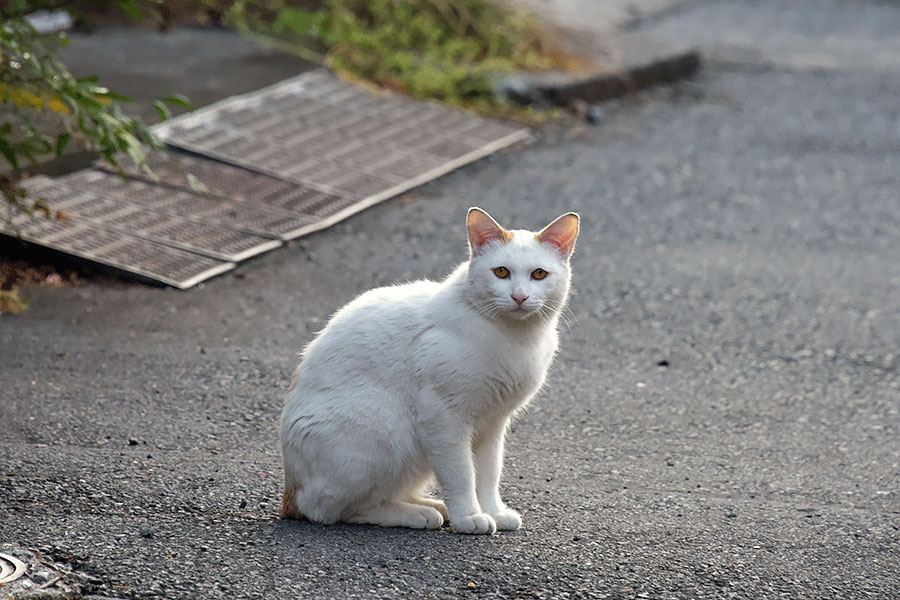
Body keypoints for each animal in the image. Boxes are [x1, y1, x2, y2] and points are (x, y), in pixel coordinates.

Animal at [278, 207, 580, 536]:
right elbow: (461, 474)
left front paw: (493, 511)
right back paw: (416, 515)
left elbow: (488, 474)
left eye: (539, 274)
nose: (520, 297)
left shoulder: (493, 423)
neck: (516, 339)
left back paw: (430, 506)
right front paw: (469, 517)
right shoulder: (444, 417)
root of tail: (290, 493)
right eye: (501, 272)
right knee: (329, 509)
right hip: (387, 426)